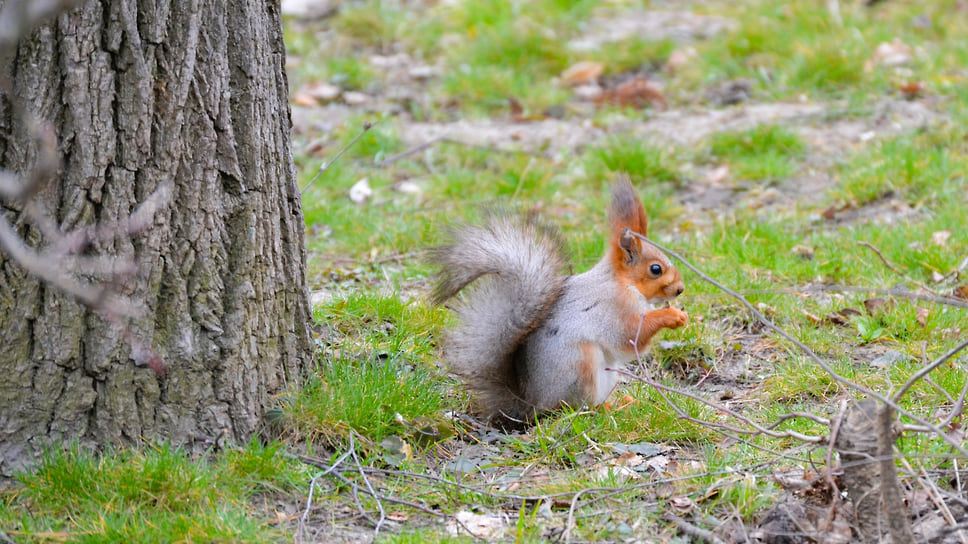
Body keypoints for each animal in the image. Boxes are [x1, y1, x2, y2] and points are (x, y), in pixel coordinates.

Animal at [432, 176, 688, 428]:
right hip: (579, 365)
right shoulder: (613, 307)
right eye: (656, 269)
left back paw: (622, 401)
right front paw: (671, 316)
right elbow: (629, 336)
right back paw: (608, 408)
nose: (680, 289)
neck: (623, 282)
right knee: (579, 407)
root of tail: (531, 405)